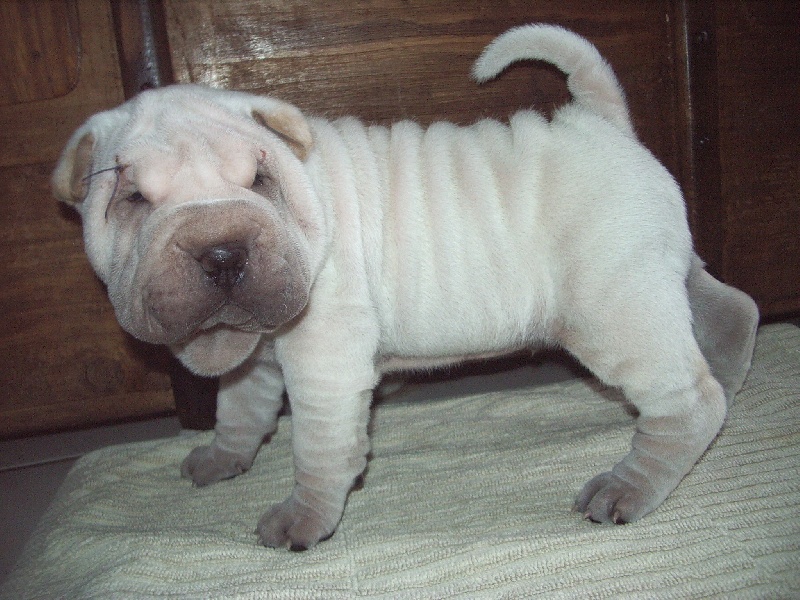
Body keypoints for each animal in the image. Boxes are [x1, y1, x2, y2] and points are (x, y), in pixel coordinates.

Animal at [52, 24, 759, 550]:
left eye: (258, 179)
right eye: (133, 199)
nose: (222, 253)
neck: (309, 203)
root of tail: (600, 120)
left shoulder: (324, 360)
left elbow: (319, 448)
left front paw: (302, 520)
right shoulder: (256, 352)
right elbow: (239, 409)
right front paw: (223, 458)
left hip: (612, 307)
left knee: (686, 398)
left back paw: (627, 487)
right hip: (653, 272)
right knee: (730, 309)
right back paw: (730, 376)